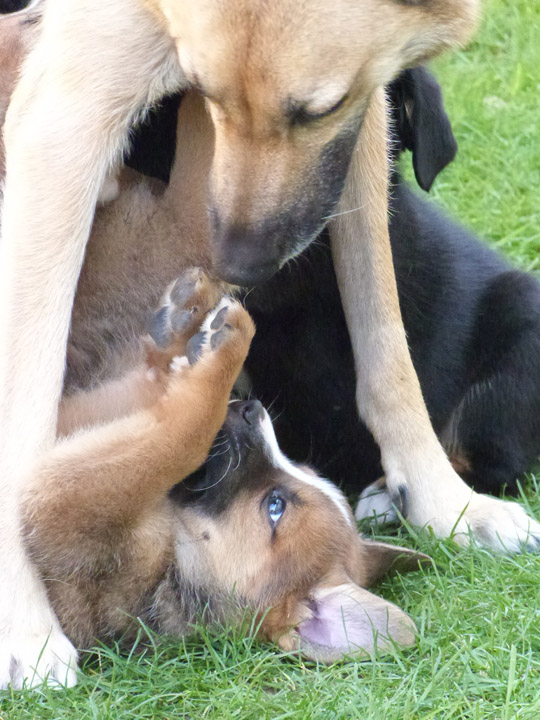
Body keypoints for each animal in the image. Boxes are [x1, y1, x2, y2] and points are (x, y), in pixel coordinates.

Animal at [20, 268, 426, 676]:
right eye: (302, 466)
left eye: (275, 507)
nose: (252, 408)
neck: (175, 555)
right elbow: (154, 395)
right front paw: (185, 327)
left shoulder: (60, 500)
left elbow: (184, 435)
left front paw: (229, 346)